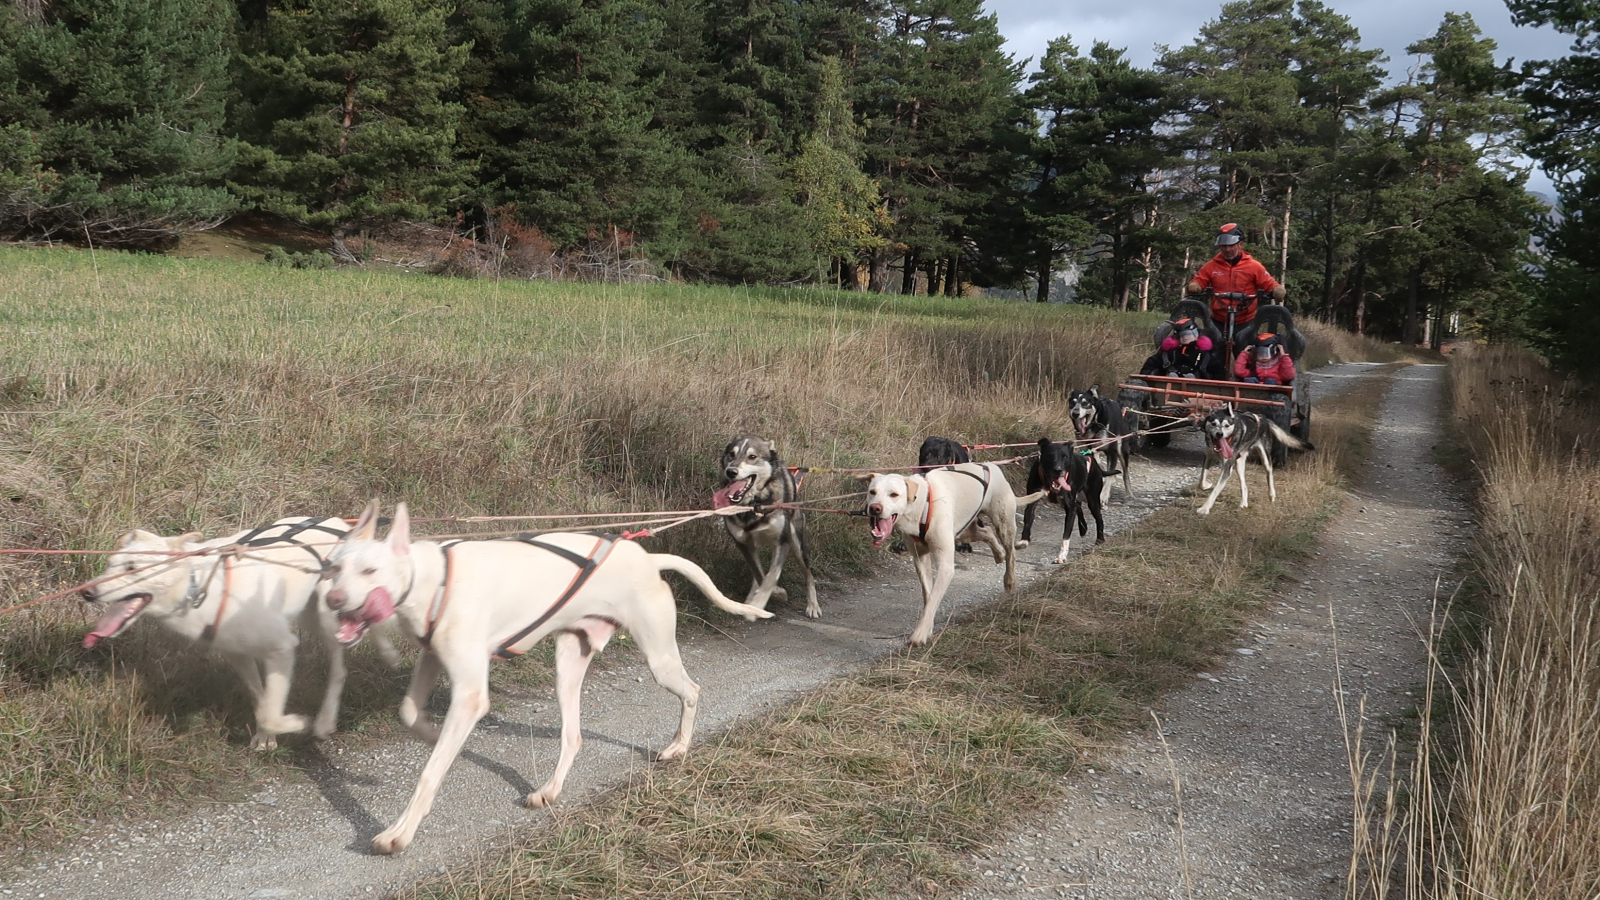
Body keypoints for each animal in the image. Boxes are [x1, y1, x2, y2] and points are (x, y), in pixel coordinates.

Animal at [321, 499, 771, 851]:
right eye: (333, 567)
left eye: (370, 571)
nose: (333, 600)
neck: (434, 579)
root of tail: (646, 558)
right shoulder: (432, 659)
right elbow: (409, 713)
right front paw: (434, 735)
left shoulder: (469, 693)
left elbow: (430, 773)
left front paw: (400, 831)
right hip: (568, 665)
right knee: (573, 736)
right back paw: (549, 789)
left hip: (658, 658)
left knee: (691, 690)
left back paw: (678, 746)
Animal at [864, 461, 1049, 643]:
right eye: (872, 492)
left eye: (894, 494)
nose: (874, 508)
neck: (922, 504)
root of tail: (992, 466)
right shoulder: (920, 559)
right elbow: (928, 596)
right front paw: (927, 627)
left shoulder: (945, 566)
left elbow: (933, 599)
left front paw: (920, 633)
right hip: (966, 530)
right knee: (987, 532)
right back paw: (998, 554)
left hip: (1003, 524)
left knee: (1010, 552)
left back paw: (1009, 580)